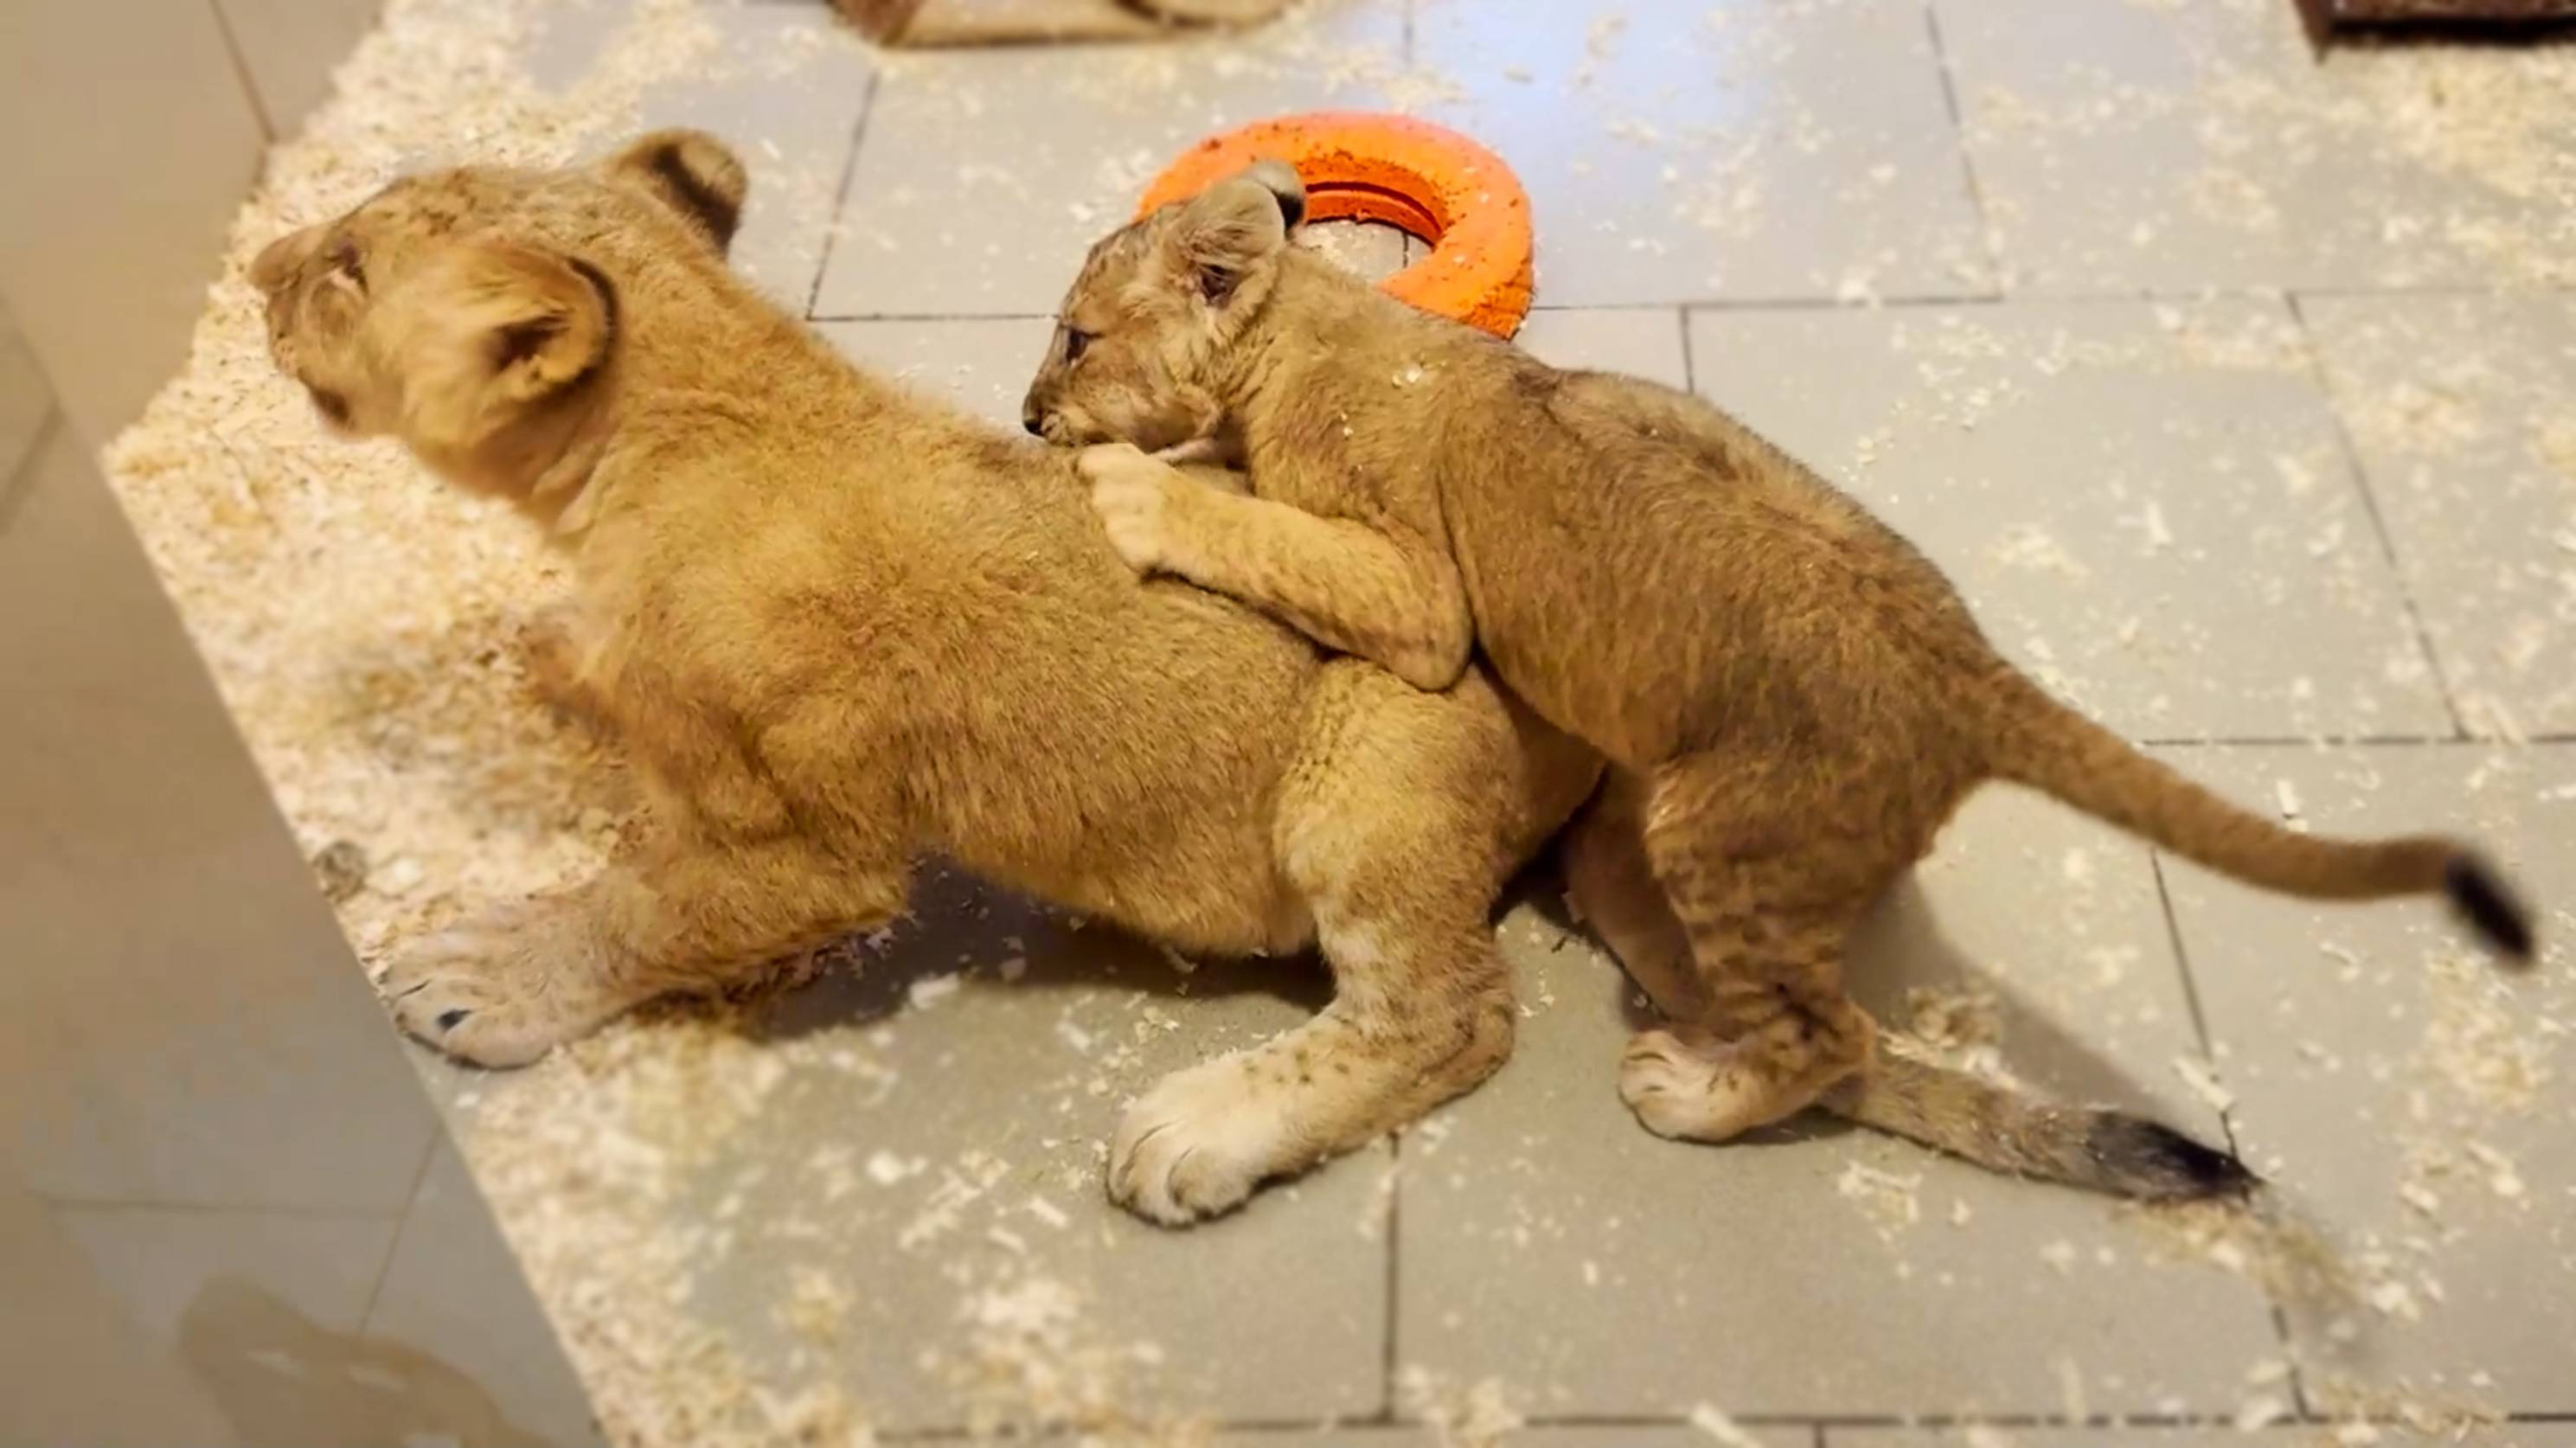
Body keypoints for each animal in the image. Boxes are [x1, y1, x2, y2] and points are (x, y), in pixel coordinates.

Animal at [251, 132, 2263, 1226]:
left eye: (344, 264)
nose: (260, 263)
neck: (683, 415)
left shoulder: (807, 848)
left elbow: (648, 902)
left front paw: (478, 969)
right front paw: (532, 667)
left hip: (1372, 771)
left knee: (1453, 1015)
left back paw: (1202, 1131)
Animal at [1019, 160, 2536, 1154]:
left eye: (1077, 337)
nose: (1031, 417)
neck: (1315, 320)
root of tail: (1966, 672)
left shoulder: (1420, 593)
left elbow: (1264, 526)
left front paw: (1132, 491)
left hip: (1725, 832)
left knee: (1833, 1037)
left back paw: (1689, 1094)